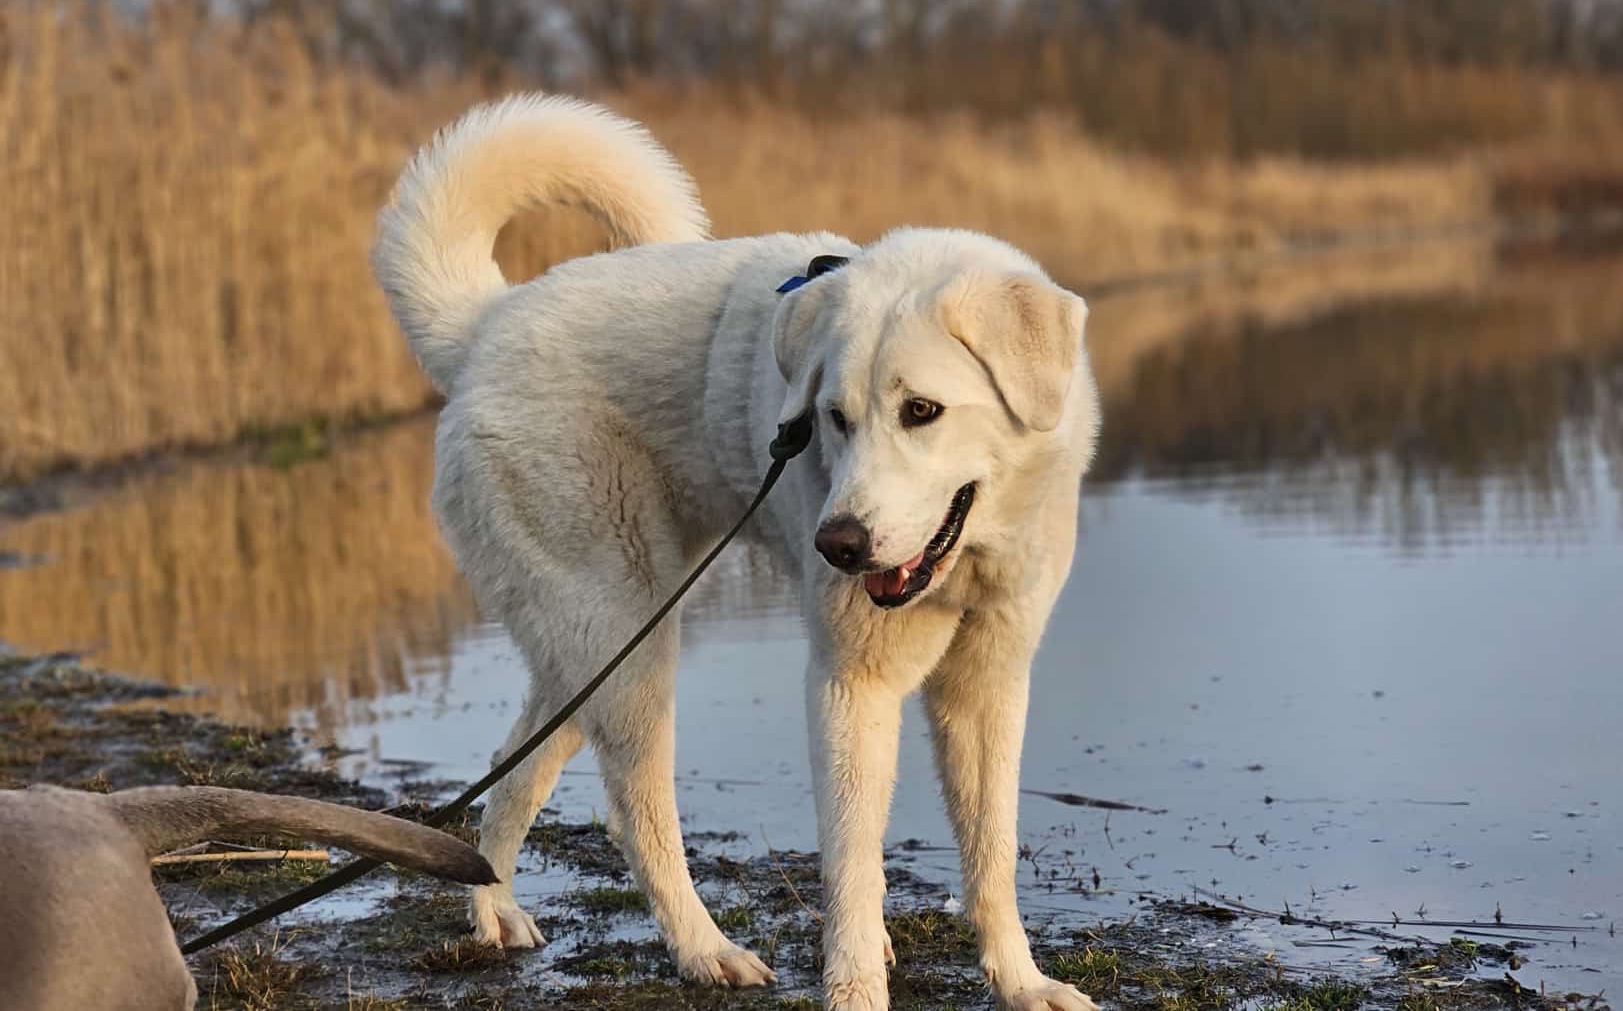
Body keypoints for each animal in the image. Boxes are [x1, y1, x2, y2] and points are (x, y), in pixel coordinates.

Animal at [372, 94, 1100, 1011]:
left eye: (922, 410)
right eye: (832, 417)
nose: (838, 545)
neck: (969, 554)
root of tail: (484, 327)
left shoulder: (989, 683)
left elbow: (991, 849)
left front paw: (1021, 981)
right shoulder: (850, 685)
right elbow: (853, 864)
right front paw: (856, 987)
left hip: (595, 649)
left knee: (514, 762)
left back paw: (494, 912)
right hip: (627, 642)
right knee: (636, 811)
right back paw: (704, 950)